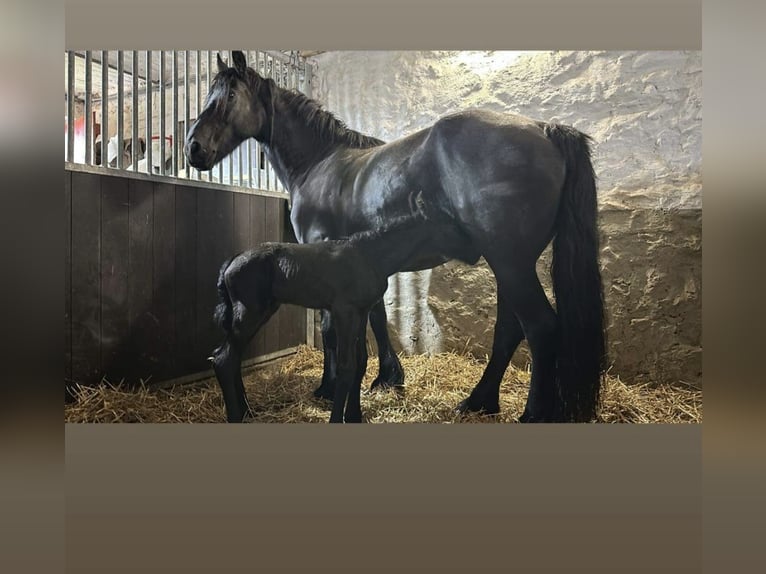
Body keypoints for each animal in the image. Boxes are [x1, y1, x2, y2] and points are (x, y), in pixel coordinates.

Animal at [212, 196, 474, 426]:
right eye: (449, 223)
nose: (474, 250)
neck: (371, 255)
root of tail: (231, 261)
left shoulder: (360, 312)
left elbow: (360, 362)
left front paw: (354, 415)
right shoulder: (344, 312)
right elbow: (347, 366)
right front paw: (338, 418)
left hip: (259, 312)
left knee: (233, 357)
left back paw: (247, 411)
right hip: (249, 313)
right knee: (224, 359)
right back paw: (236, 416)